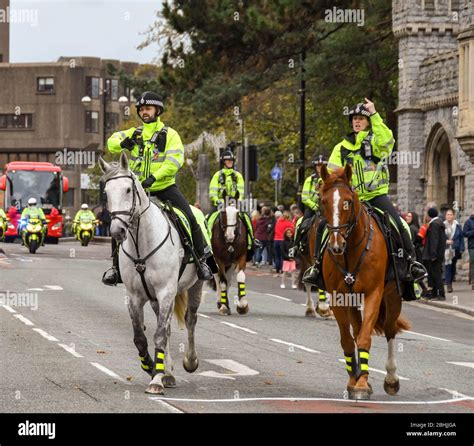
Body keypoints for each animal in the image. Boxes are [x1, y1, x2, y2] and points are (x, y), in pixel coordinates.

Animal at [99, 152, 203, 394]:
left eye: (128, 189)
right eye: (106, 192)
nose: (117, 230)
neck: (142, 242)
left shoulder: (166, 292)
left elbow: (159, 335)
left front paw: (156, 379)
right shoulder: (134, 297)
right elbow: (140, 337)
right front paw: (151, 366)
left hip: (195, 285)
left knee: (190, 320)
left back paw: (189, 361)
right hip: (157, 299)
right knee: (168, 328)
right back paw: (168, 373)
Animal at [318, 164, 412, 400]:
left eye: (348, 202)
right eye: (323, 201)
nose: (336, 245)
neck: (351, 250)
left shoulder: (373, 294)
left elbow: (365, 339)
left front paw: (361, 385)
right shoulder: (338, 297)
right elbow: (348, 339)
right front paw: (356, 380)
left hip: (393, 297)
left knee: (389, 330)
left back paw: (390, 379)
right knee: (358, 329)